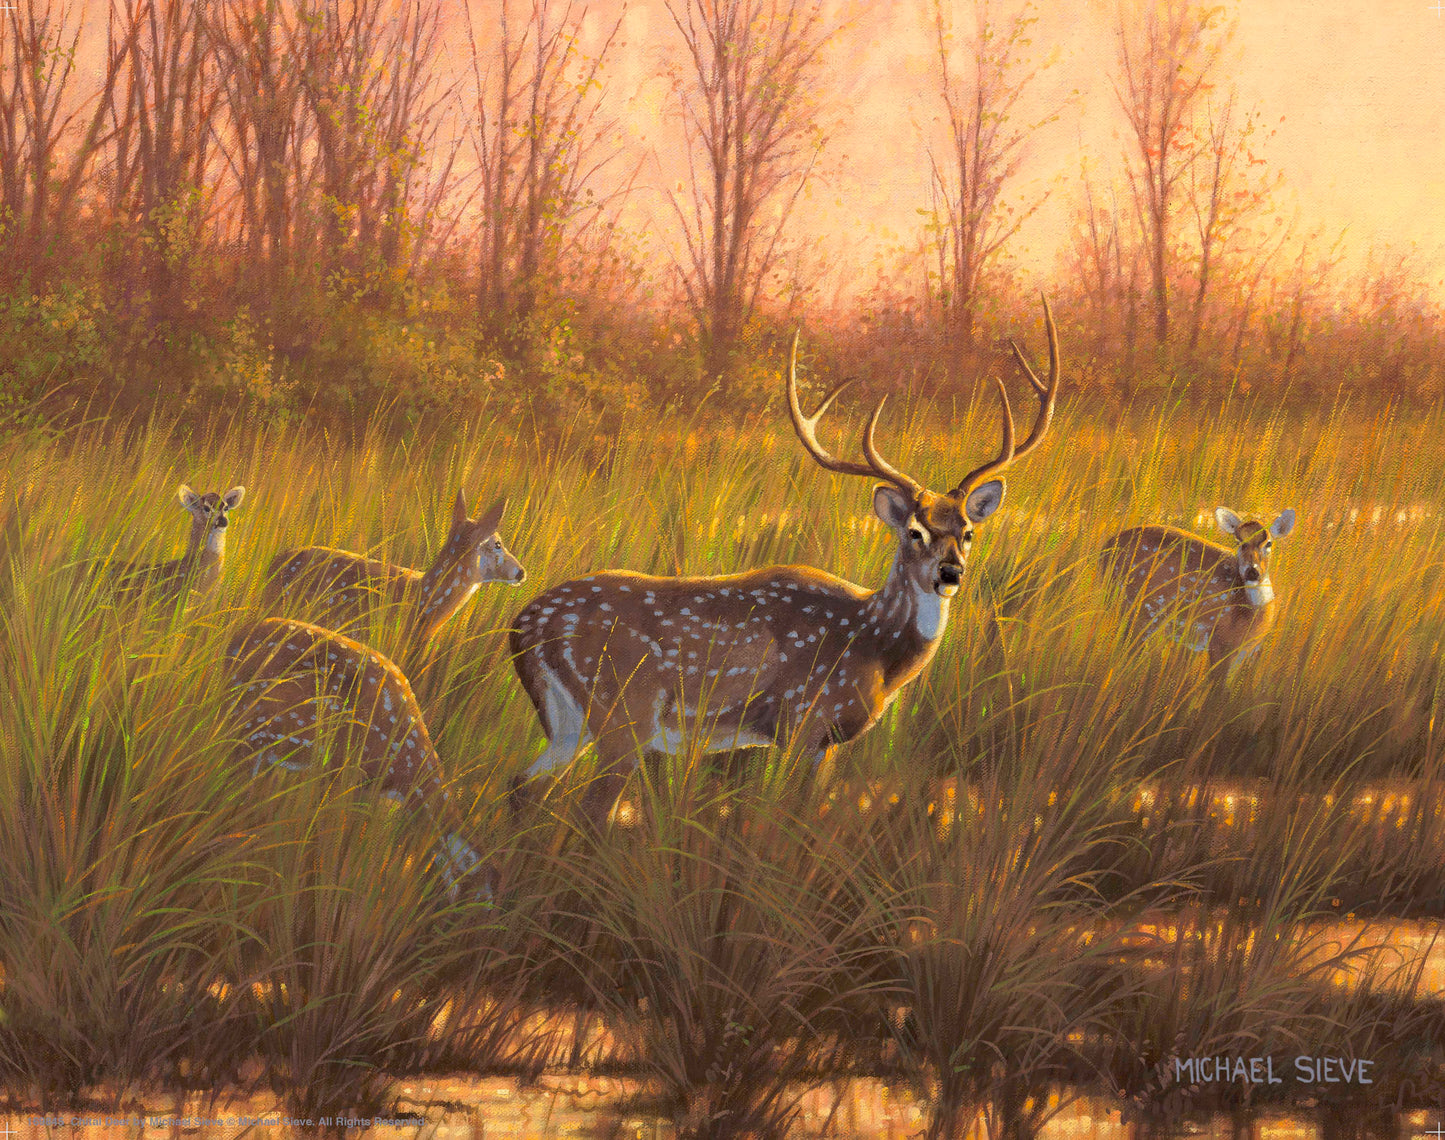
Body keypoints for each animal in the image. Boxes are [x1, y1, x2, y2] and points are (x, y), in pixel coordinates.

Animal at [509, 298, 1061, 825]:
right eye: (914, 532)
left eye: (968, 532)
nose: (950, 573)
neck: (876, 647)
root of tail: (523, 625)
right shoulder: (804, 719)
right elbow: (785, 819)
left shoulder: (825, 743)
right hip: (624, 715)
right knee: (587, 809)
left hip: (568, 724)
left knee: (519, 786)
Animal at [1100, 507, 1297, 671]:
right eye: (1239, 542)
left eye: (1269, 543)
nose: (1252, 571)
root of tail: (1106, 546)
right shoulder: (1220, 644)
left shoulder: (1242, 654)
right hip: (1139, 607)